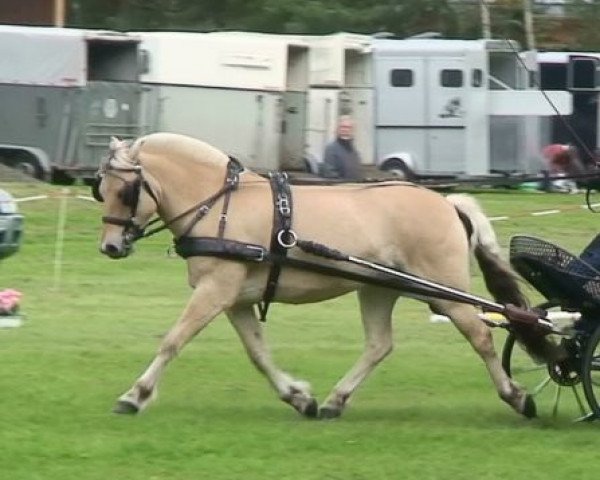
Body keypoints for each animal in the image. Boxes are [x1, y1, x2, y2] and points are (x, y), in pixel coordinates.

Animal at [94, 132, 548, 420]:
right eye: (102, 188)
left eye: (126, 190)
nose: (110, 247)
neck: (220, 205)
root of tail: (447, 203)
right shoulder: (236, 298)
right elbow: (258, 353)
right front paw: (298, 397)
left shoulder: (215, 290)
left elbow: (173, 340)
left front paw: (135, 395)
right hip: (380, 289)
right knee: (379, 345)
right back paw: (335, 401)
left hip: (445, 292)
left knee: (482, 336)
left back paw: (516, 397)